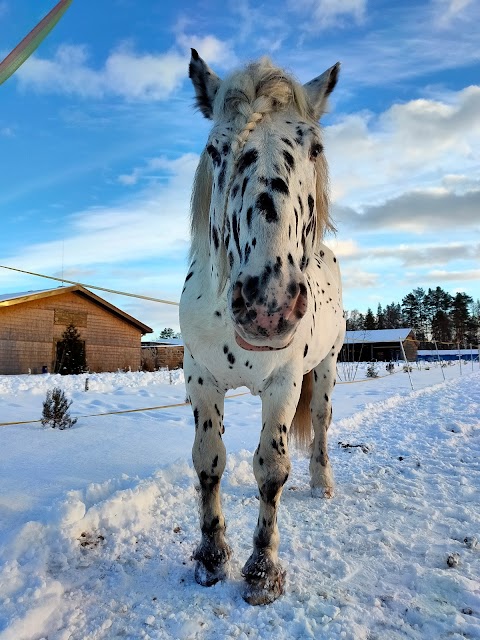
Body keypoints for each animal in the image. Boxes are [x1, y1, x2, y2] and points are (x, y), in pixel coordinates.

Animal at [180, 51, 344, 604]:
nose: (268, 305)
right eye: (216, 149)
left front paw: (262, 571)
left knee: (321, 423)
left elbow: (271, 469)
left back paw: (322, 483)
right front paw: (211, 557)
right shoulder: (200, 379)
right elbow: (209, 461)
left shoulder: (283, 384)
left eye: (315, 147)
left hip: (327, 368)